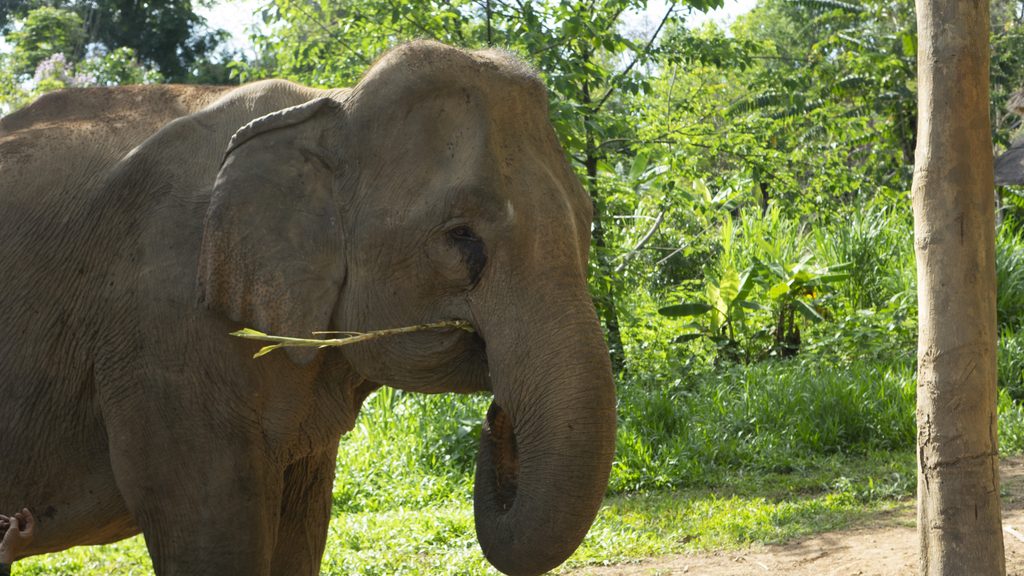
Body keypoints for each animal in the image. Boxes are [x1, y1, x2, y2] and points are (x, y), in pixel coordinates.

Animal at [0, 41, 616, 576]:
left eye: (587, 219)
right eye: (460, 236)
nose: (497, 419)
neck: (327, 106)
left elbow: (300, 535)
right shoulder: (164, 331)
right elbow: (211, 535)